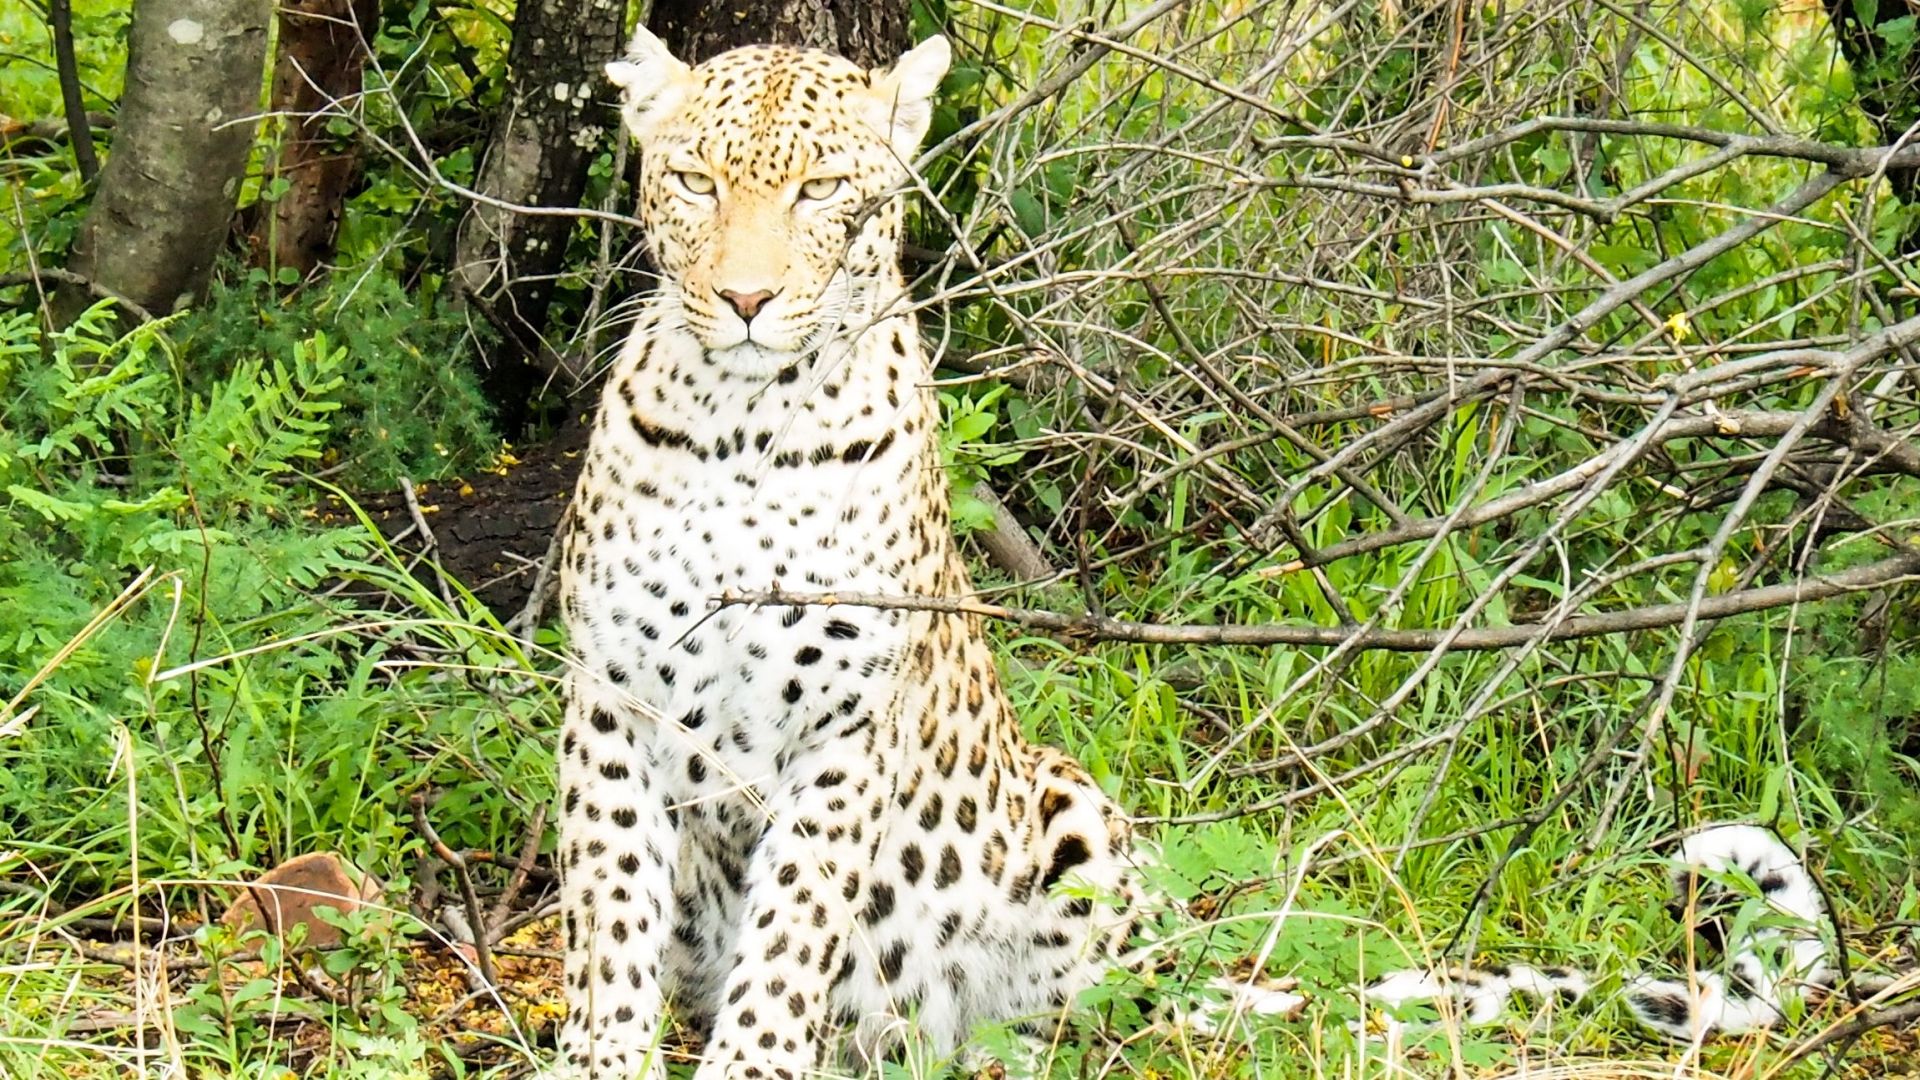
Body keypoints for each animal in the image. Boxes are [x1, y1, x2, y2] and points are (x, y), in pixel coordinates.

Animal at [556, 25, 1144, 1076]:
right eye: (696, 181)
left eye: (822, 189)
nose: (747, 296)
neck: (740, 425)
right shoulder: (611, 699)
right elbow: (610, 904)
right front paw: (601, 1058)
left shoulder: (847, 729)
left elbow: (795, 922)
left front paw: (752, 1061)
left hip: (1075, 811)